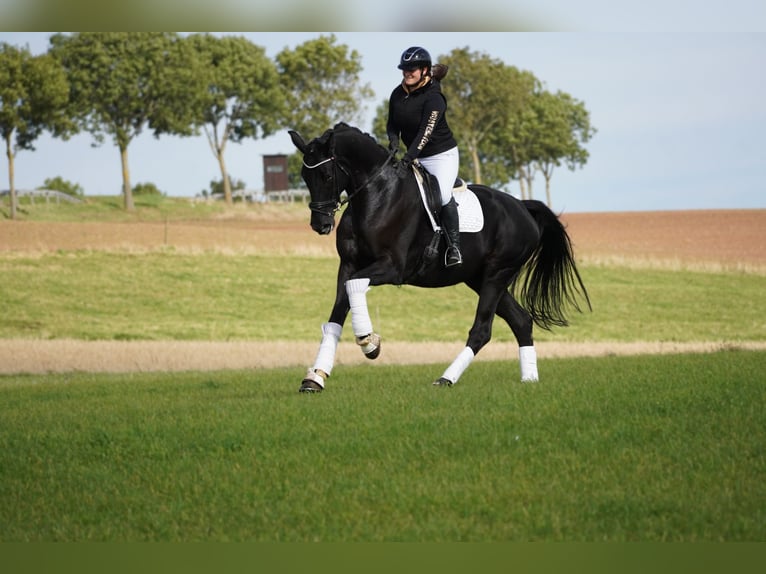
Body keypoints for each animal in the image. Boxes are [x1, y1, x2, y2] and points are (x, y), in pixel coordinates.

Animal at [292, 121, 592, 392]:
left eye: (326, 176)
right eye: (305, 176)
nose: (320, 225)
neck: (377, 195)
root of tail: (522, 207)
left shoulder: (392, 268)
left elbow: (354, 287)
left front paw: (369, 343)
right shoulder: (348, 265)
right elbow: (336, 316)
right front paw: (315, 378)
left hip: (497, 275)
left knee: (482, 330)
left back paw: (446, 379)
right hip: (479, 279)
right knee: (521, 321)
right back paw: (529, 379)